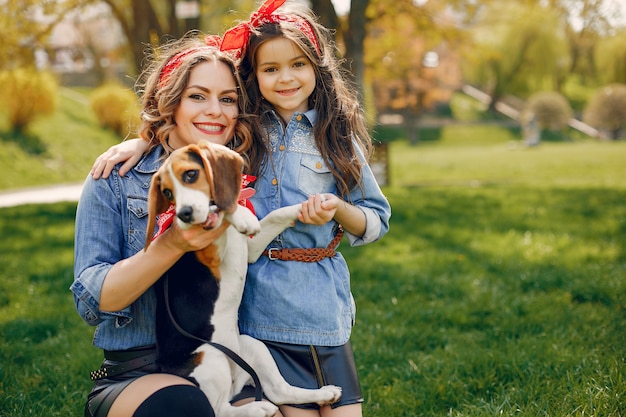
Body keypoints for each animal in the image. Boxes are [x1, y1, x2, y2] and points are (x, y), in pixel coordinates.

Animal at [145, 141, 342, 416]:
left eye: (190, 175)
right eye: (167, 193)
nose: (184, 214)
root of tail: (234, 384)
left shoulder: (250, 249)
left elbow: (276, 215)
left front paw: (312, 205)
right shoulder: (208, 251)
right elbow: (221, 212)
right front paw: (238, 214)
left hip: (251, 345)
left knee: (279, 392)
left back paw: (323, 394)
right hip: (209, 356)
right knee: (218, 410)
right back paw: (258, 409)